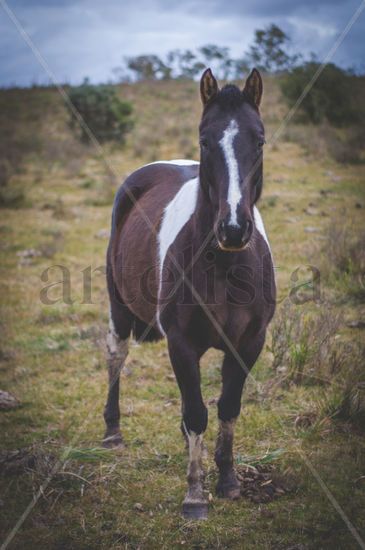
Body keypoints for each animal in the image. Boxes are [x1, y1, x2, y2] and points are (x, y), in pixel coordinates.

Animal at [101, 67, 272, 520]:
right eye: (205, 140)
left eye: (260, 140)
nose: (233, 228)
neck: (224, 265)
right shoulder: (181, 343)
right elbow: (196, 413)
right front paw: (195, 494)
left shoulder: (248, 343)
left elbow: (227, 407)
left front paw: (228, 480)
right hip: (118, 308)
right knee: (115, 357)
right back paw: (112, 431)